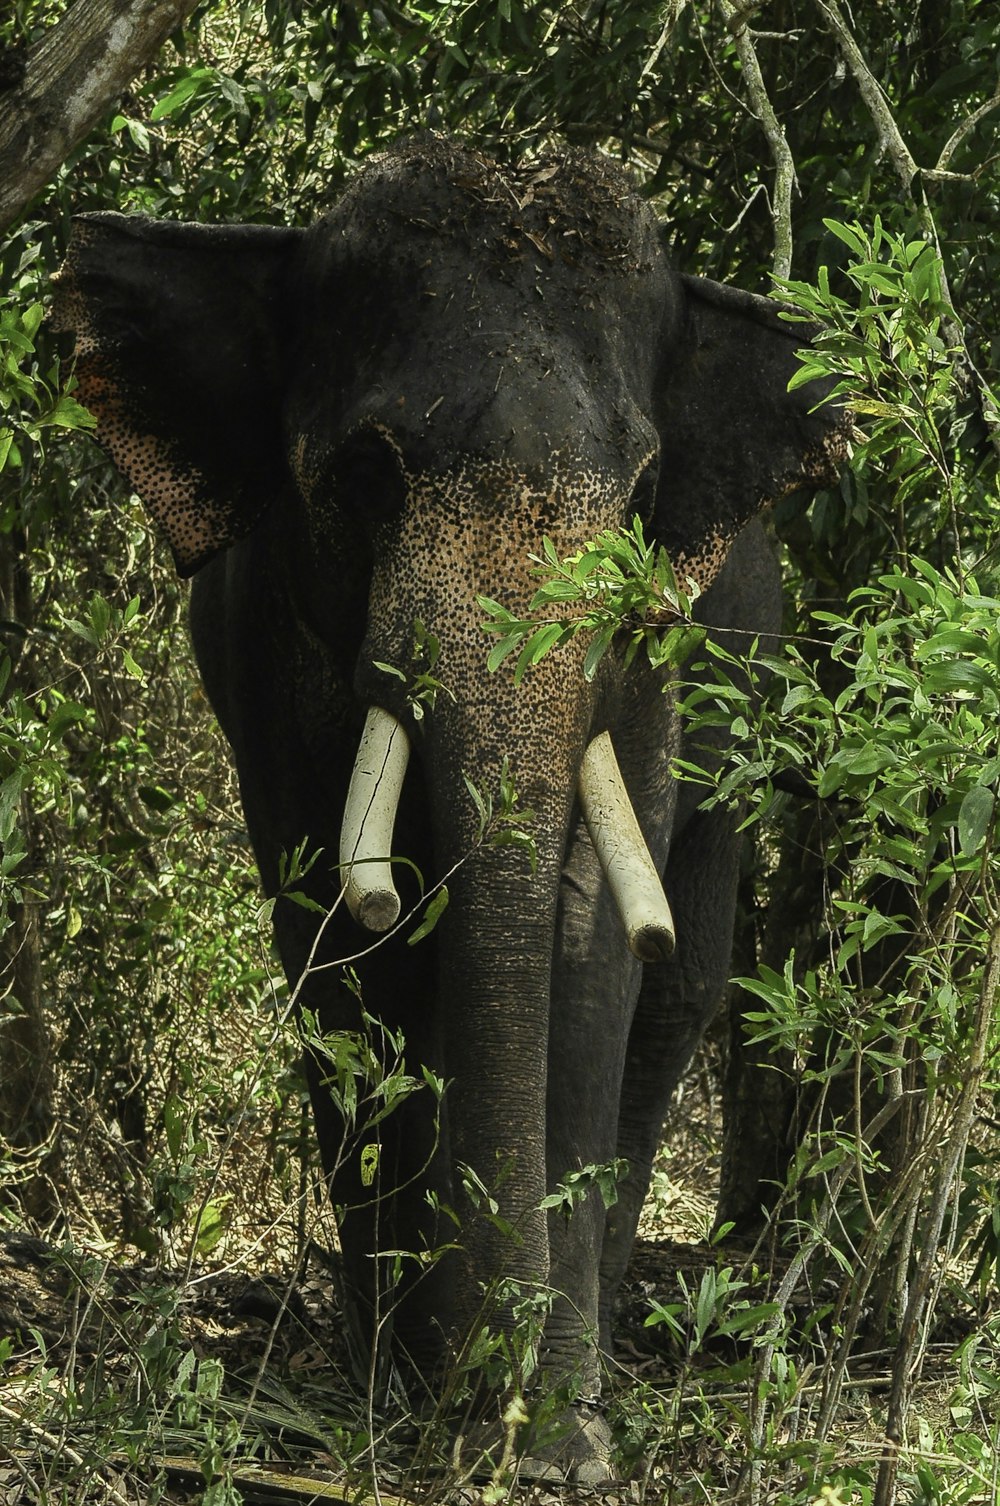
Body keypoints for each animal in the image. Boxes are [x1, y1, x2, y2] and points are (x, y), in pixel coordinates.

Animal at [52, 135, 843, 1475]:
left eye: (641, 489)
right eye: (367, 474)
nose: (496, 1407)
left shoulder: (651, 661)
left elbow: (587, 946)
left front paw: (560, 1445)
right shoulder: (269, 644)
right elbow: (334, 946)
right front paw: (405, 1392)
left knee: (682, 986)